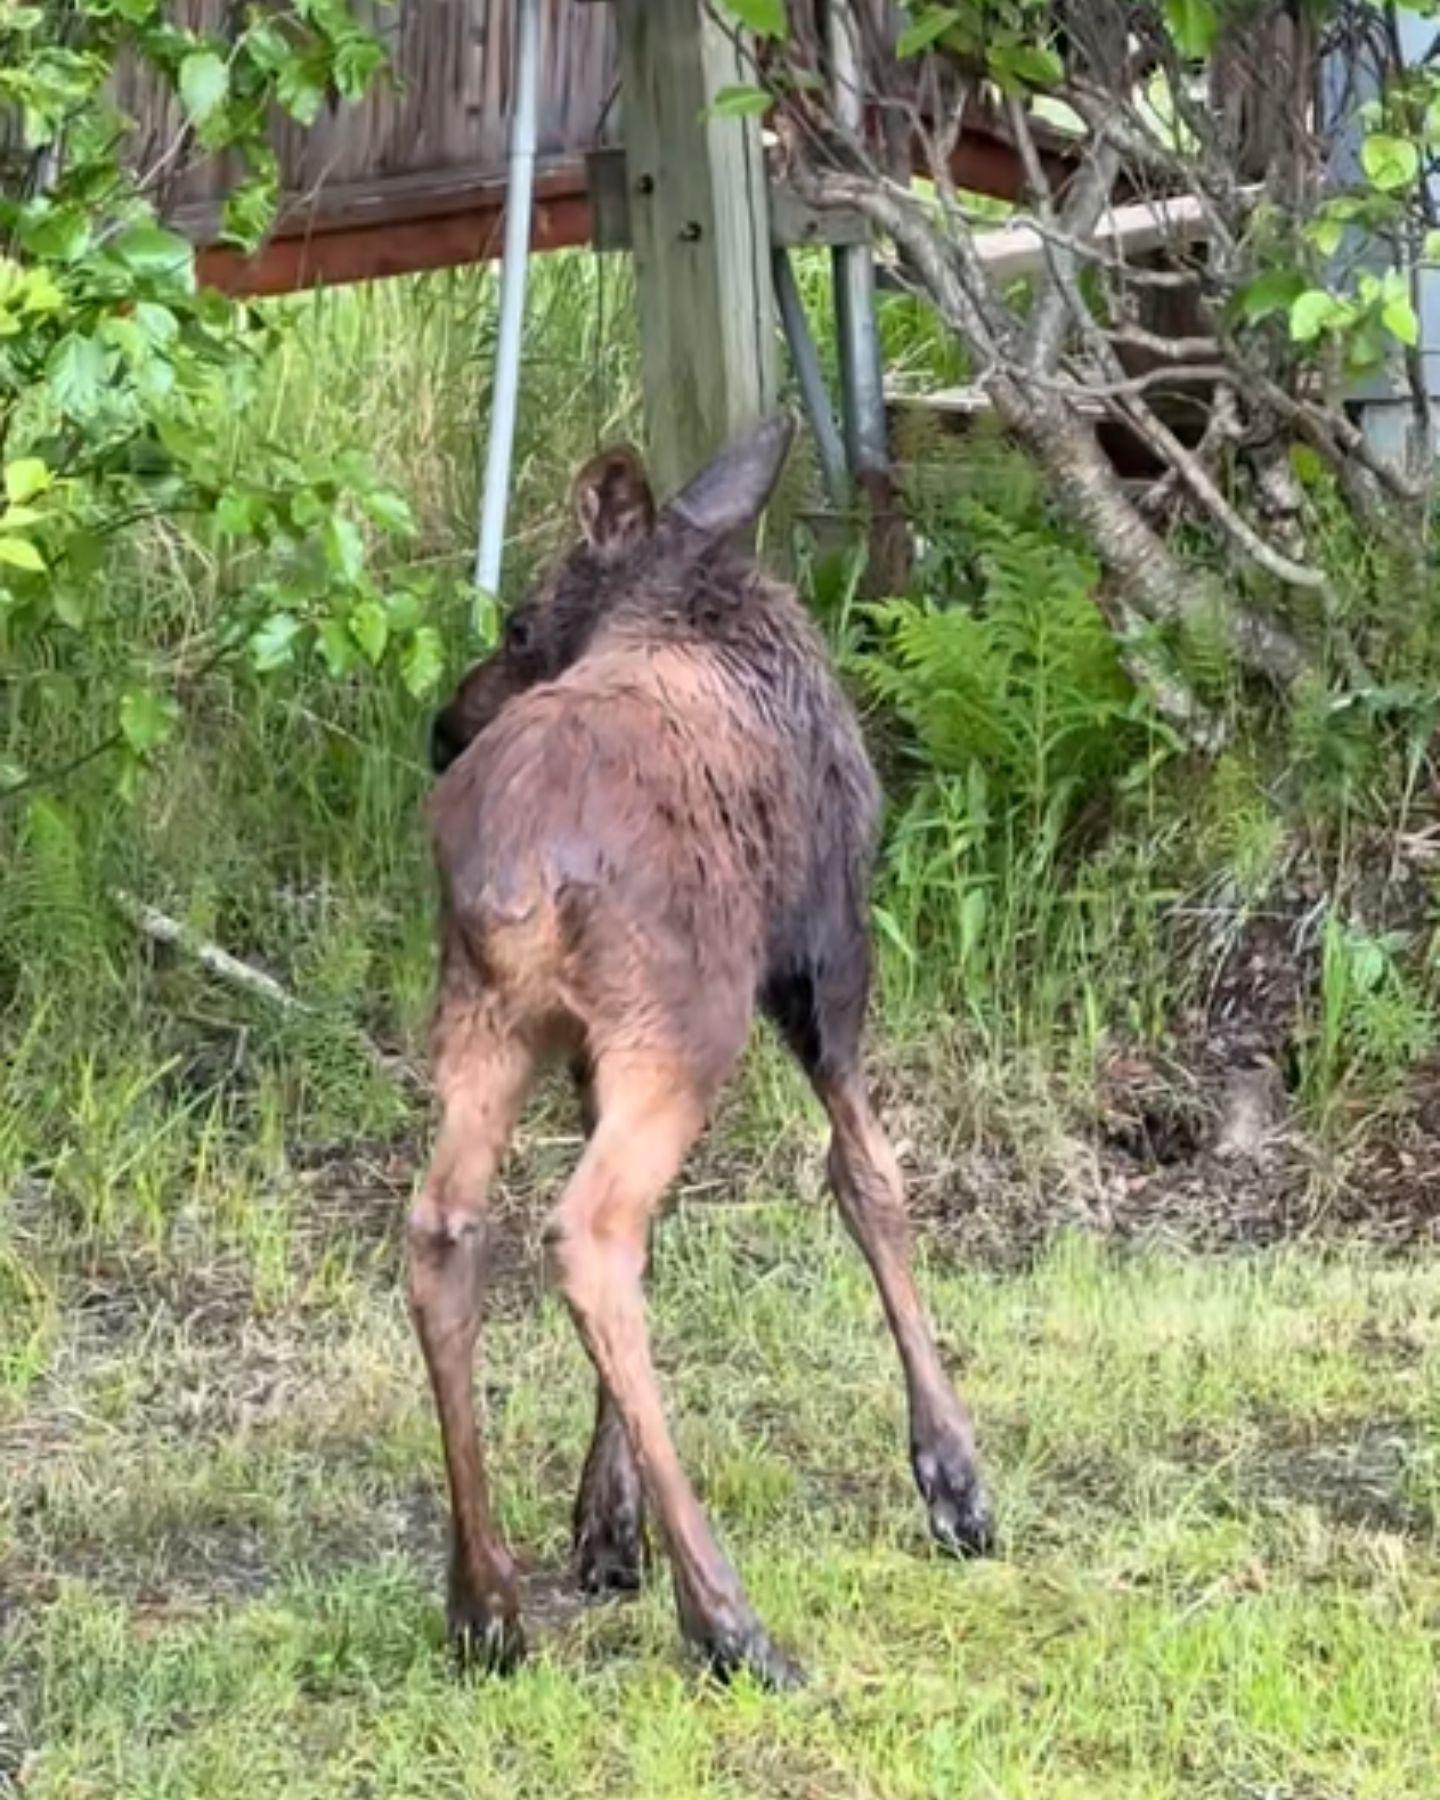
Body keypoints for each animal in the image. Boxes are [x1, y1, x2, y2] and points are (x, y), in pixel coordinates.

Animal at [416, 413, 994, 1690]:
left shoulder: (593, 1053)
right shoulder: (826, 959)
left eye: (519, 624)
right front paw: (953, 1475)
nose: (440, 724)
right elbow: (869, 1182)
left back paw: (486, 1602)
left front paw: (602, 1522)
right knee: (590, 1235)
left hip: (491, 1020)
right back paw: (726, 1617)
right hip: (689, 1021)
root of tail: (513, 878)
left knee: (446, 1232)